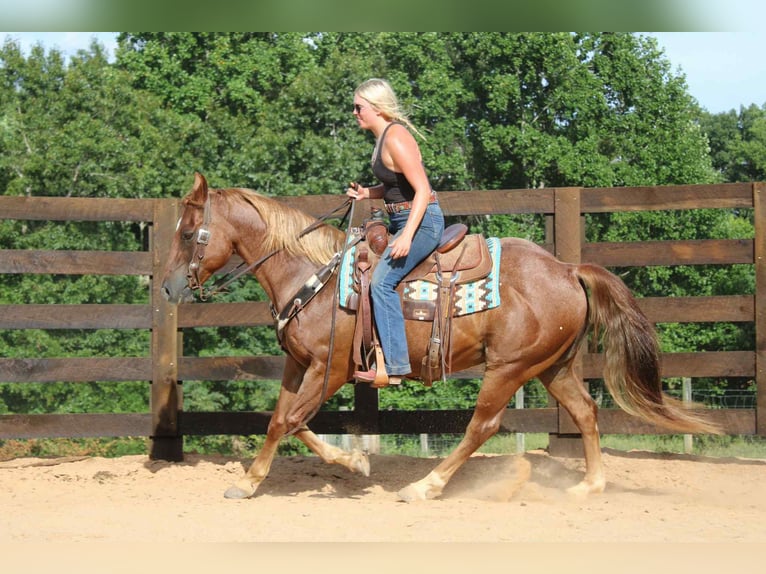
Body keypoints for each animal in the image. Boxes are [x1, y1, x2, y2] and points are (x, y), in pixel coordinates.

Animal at [161, 172, 720, 501]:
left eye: (188, 234)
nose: (168, 287)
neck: (312, 275)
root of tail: (566, 269)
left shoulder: (332, 367)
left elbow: (291, 421)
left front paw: (350, 462)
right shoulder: (299, 364)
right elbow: (281, 419)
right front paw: (256, 477)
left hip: (509, 368)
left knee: (482, 426)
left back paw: (426, 486)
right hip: (553, 366)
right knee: (584, 411)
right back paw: (590, 483)